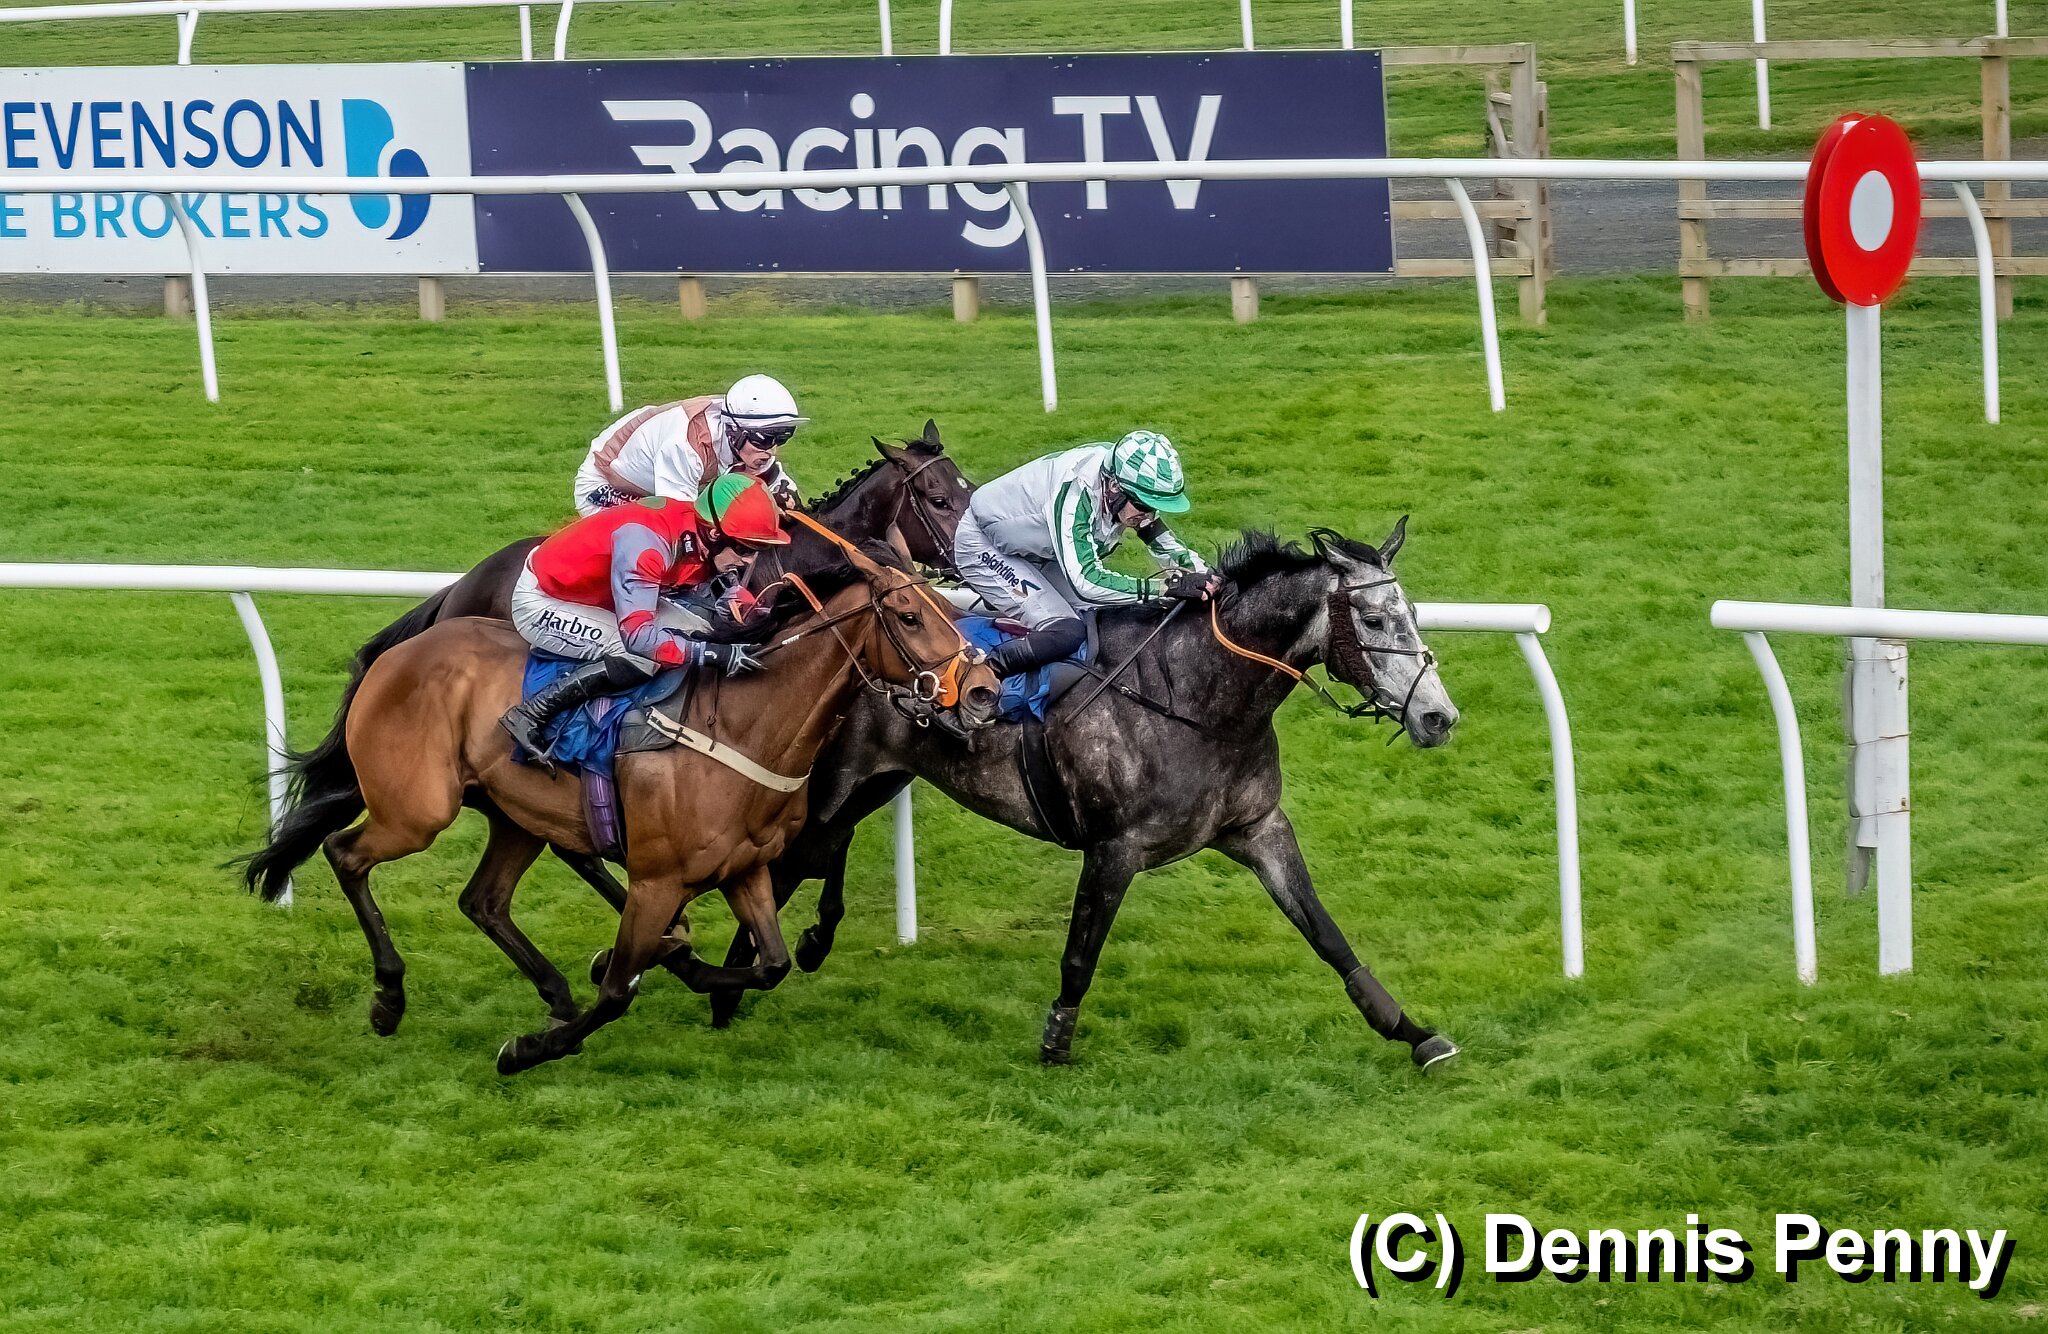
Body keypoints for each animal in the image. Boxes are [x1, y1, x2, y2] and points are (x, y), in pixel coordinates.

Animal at [242, 543, 1003, 1073]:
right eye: (909, 616)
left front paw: (674, 964)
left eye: (950, 609)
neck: (745, 725)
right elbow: (618, 992)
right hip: (417, 811)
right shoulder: (656, 879)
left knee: (482, 900)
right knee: (345, 853)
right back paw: (389, 998)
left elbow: (771, 962)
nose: (985, 690)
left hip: (515, 816)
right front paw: (529, 1048)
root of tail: (401, 649)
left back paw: (552, 990)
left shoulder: (745, 869)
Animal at [704, 521, 1465, 1071]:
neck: (1199, 700)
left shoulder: (1259, 828)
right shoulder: (1114, 849)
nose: (1438, 718)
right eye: (1373, 621)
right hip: (830, 784)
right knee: (779, 865)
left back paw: (794, 950)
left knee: (820, 852)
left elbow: (1327, 934)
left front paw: (1412, 1032)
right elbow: (1080, 955)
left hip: (877, 780)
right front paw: (1055, 1046)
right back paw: (729, 987)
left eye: (1412, 612)